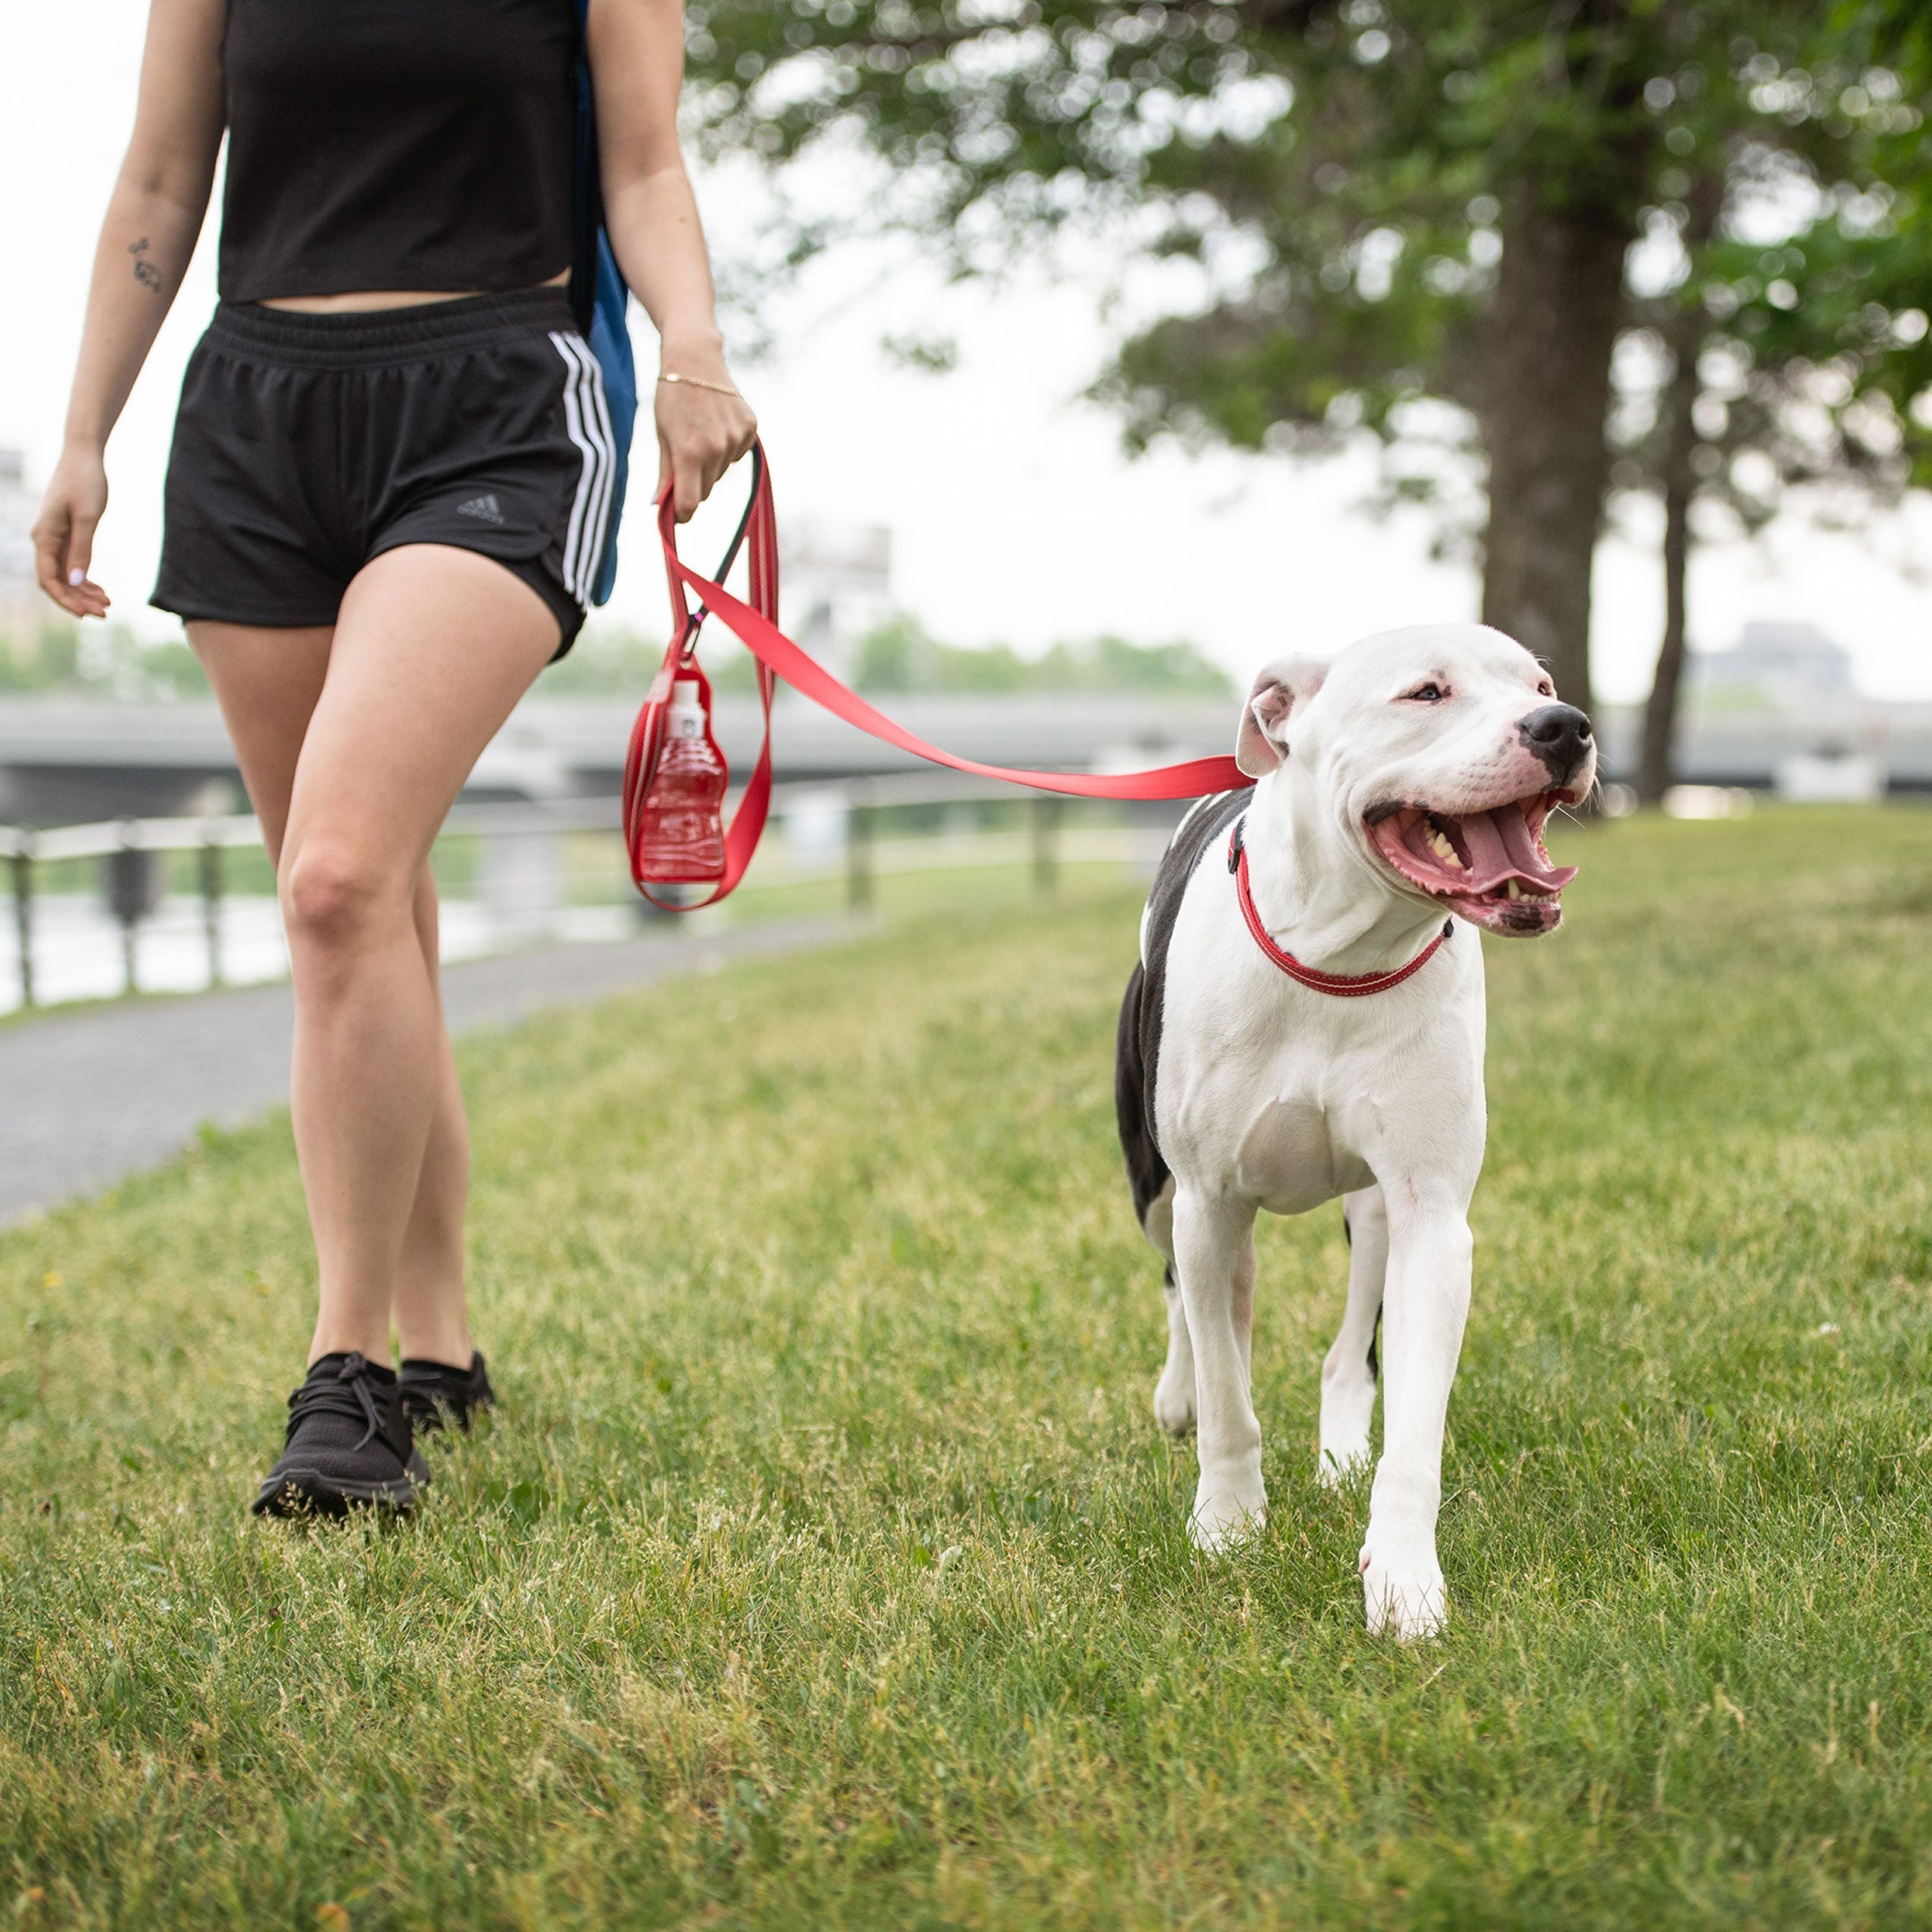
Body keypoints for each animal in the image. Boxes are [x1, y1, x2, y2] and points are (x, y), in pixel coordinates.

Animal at [1120, 626, 1599, 1638]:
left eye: (1540, 682)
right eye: (1425, 692)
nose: (1564, 725)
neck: (1339, 955)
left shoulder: (1430, 1213)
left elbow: (1414, 1419)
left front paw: (1405, 1579)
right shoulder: (1207, 1198)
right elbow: (1227, 1389)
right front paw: (1227, 1523)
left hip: (1373, 1209)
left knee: (1347, 1344)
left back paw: (1340, 1454)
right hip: (1156, 1185)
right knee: (1190, 1291)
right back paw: (1180, 1396)